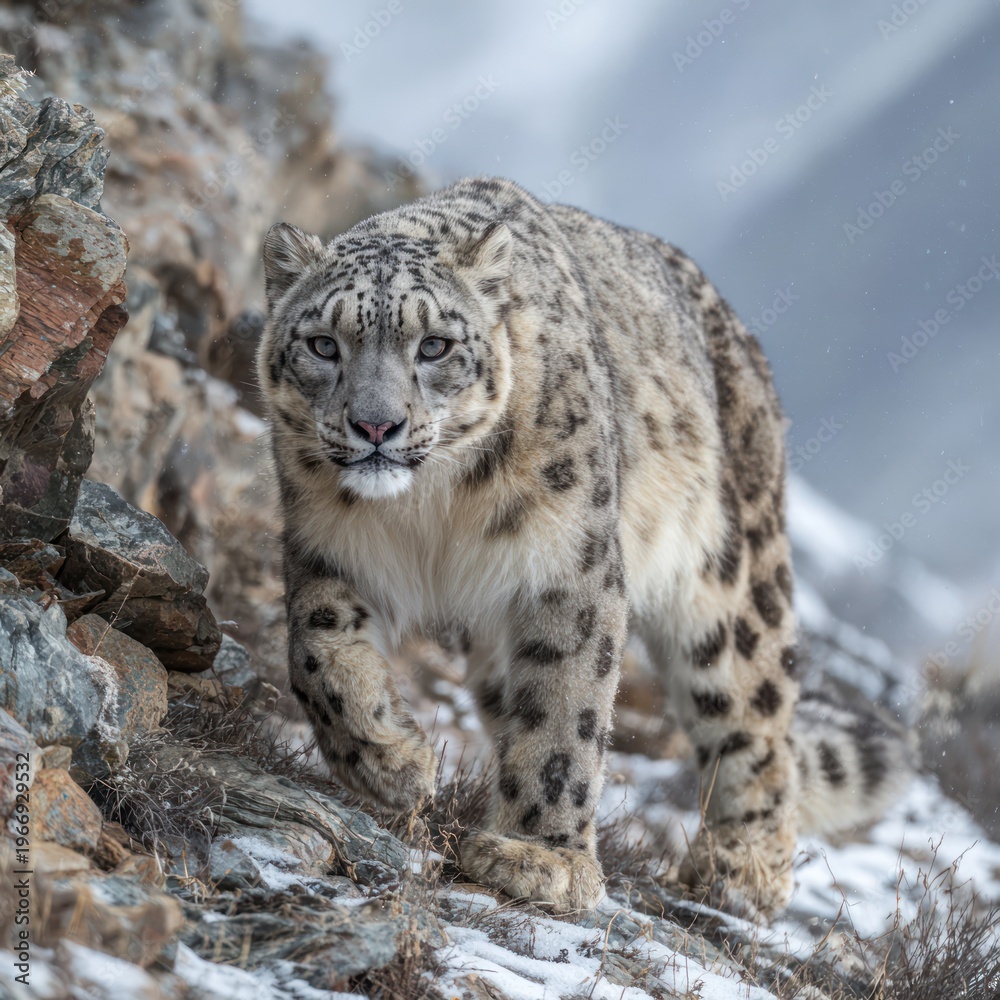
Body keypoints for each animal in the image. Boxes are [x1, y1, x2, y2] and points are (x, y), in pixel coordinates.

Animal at [256, 176, 908, 918]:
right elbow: (317, 654)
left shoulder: (568, 564)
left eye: (434, 346)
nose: (375, 425)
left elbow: (567, 712)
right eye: (323, 344)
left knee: (755, 712)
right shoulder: (326, 546)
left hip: (732, 584)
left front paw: (539, 859)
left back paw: (740, 868)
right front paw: (392, 762)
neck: (428, 511)